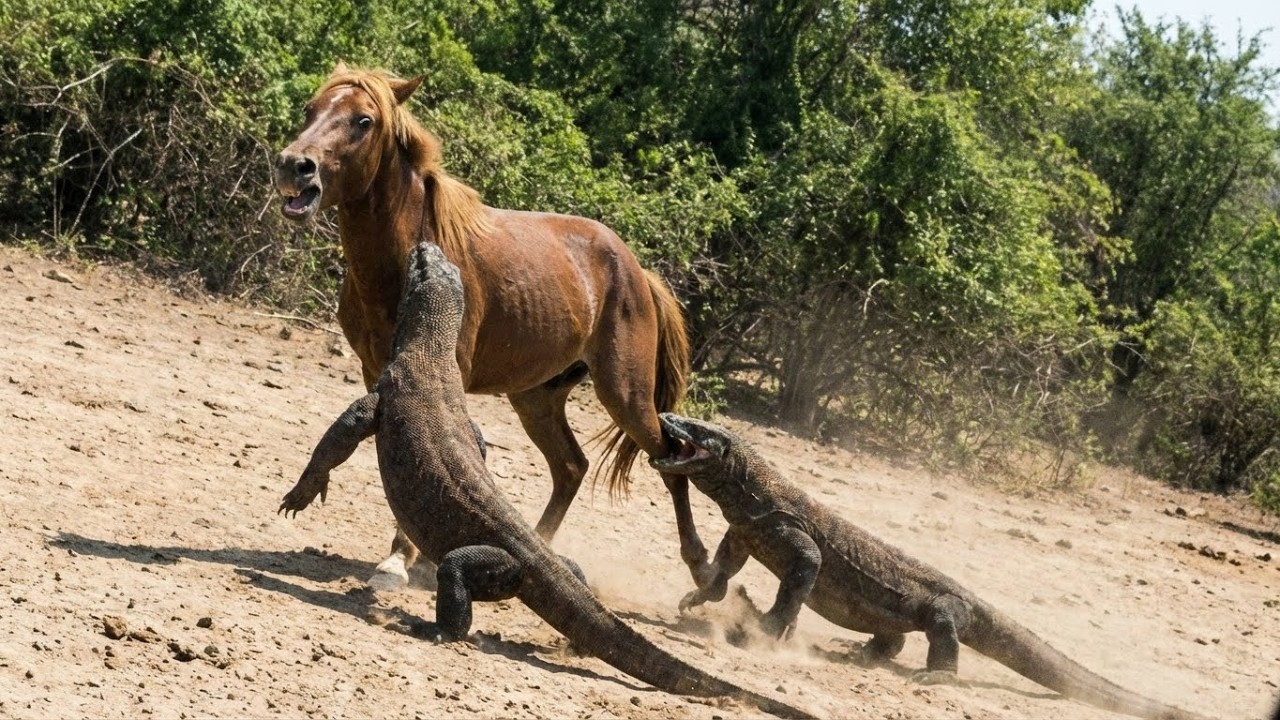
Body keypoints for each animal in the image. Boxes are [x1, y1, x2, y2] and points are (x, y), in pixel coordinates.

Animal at [273, 62, 713, 590]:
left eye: (363, 121)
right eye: (310, 109)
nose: (293, 165)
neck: (406, 261)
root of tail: (637, 271)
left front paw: (401, 560)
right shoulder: (376, 370)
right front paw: (404, 557)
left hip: (626, 394)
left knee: (671, 461)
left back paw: (704, 574)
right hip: (537, 397)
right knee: (571, 466)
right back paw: (540, 549)